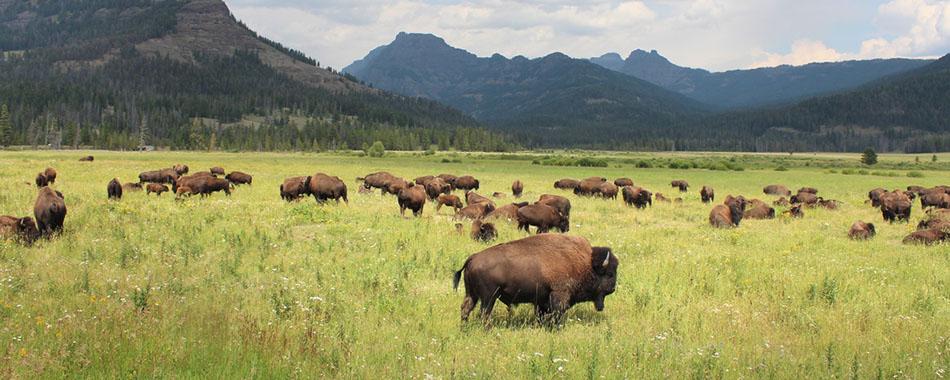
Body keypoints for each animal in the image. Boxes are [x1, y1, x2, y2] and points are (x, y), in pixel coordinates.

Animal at [456, 235, 620, 324]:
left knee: (466, 308)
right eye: (609, 274)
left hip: (472, 294)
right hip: (489, 297)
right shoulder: (559, 294)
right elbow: (556, 314)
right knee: (484, 314)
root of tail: (473, 258)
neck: (586, 263)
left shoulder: (542, 300)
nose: (613, 289)